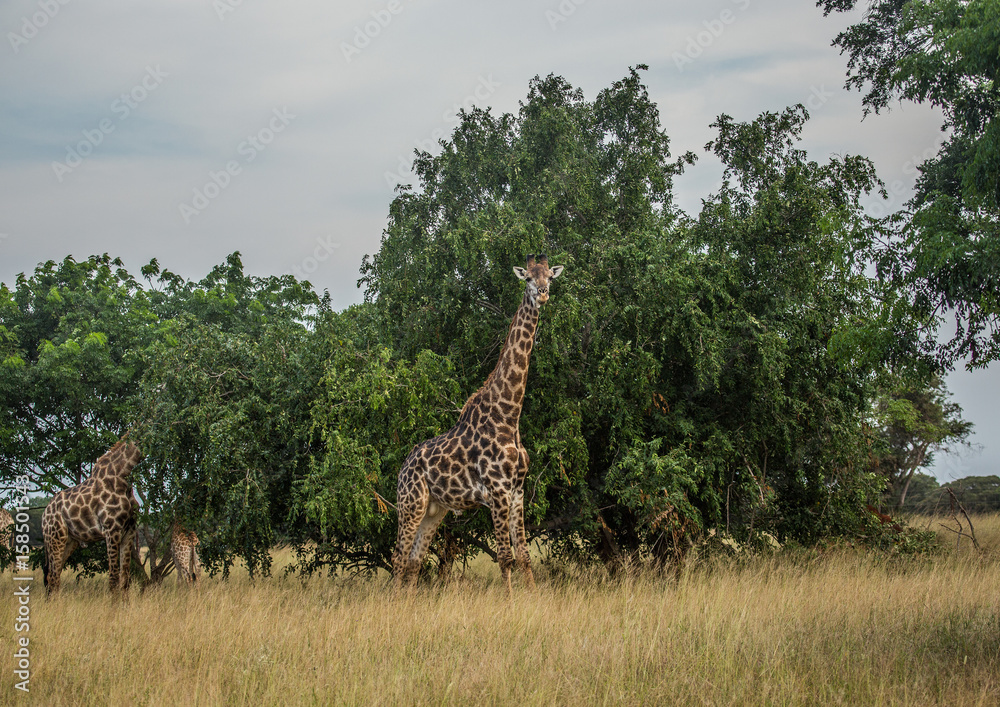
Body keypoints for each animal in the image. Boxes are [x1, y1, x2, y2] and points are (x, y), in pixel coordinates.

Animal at [41, 441, 142, 597]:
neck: (122, 474)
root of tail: (45, 513)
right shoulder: (111, 529)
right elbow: (114, 578)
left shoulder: (129, 531)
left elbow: (125, 579)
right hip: (55, 538)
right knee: (52, 576)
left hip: (70, 541)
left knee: (53, 575)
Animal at [393, 254, 564, 593]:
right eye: (528, 278)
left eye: (550, 277)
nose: (542, 294)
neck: (509, 413)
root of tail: (402, 469)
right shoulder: (497, 490)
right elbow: (505, 557)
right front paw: (510, 601)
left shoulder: (517, 490)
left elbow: (524, 554)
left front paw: (533, 598)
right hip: (411, 504)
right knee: (397, 560)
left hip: (434, 510)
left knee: (414, 561)